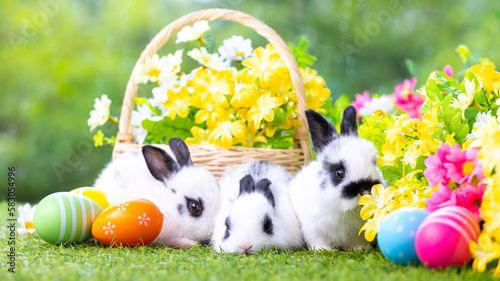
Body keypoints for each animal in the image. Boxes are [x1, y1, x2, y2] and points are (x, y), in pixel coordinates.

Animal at [290, 106, 386, 250]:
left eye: (374, 163)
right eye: (339, 173)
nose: (364, 190)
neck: (345, 211)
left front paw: (358, 249)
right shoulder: (314, 230)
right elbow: (319, 241)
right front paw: (324, 250)